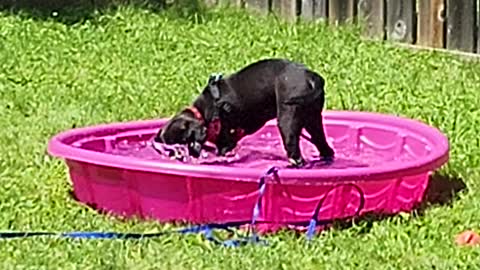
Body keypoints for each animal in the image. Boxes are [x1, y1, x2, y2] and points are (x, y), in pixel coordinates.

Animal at [155, 58, 334, 167]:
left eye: (184, 140)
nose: (188, 154)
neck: (204, 110)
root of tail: (312, 78)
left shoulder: (225, 141)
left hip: (287, 121)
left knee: (294, 151)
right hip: (313, 120)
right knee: (323, 145)